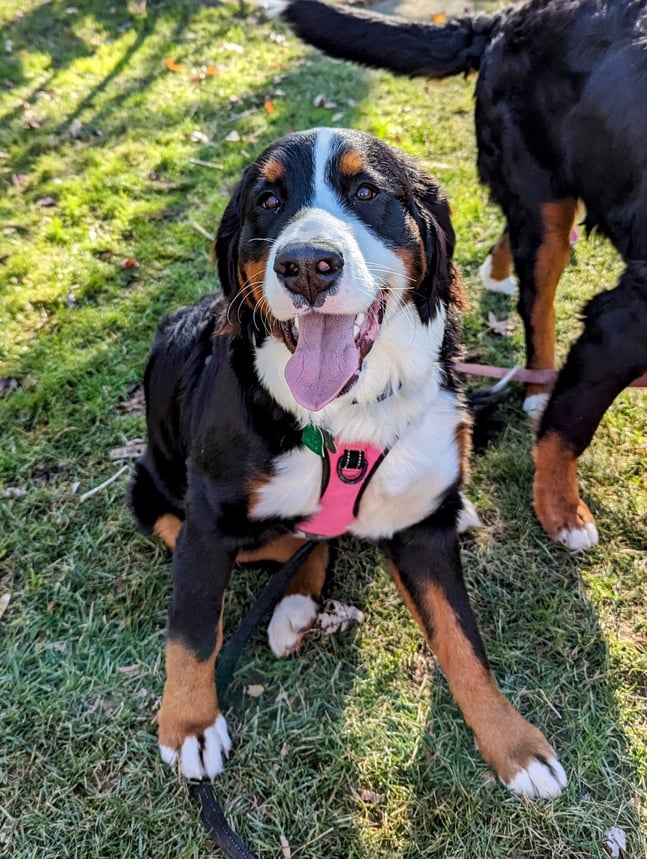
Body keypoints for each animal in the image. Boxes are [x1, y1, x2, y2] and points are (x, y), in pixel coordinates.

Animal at [130, 127, 568, 800]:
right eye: (267, 201)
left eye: (366, 192)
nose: (307, 265)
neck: (344, 418)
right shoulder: (207, 524)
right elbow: (194, 628)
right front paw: (189, 727)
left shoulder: (422, 535)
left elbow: (463, 642)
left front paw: (515, 746)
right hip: (152, 494)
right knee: (293, 543)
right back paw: (293, 609)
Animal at [286, 0, 647, 552]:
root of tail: (507, 18)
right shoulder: (621, 323)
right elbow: (568, 425)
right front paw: (562, 511)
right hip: (543, 195)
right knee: (537, 299)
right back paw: (537, 383)